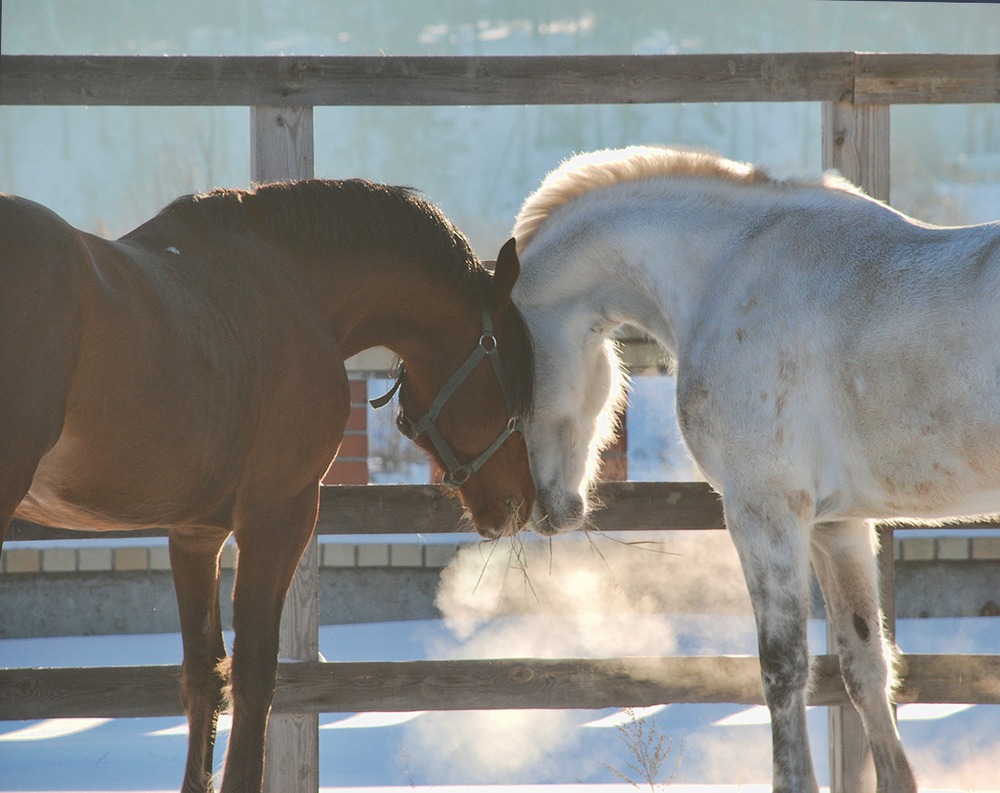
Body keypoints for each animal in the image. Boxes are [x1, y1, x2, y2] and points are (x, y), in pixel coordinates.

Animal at [0, 181, 536, 792]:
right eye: (509, 372)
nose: (521, 502)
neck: (290, 285)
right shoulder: (281, 515)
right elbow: (255, 674)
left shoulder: (196, 534)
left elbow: (204, 675)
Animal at [504, 145, 1000, 788]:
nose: (541, 509)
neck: (726, 273)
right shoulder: (837, 528)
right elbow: (865, 667)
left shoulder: (762, 513)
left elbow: (782, 669)